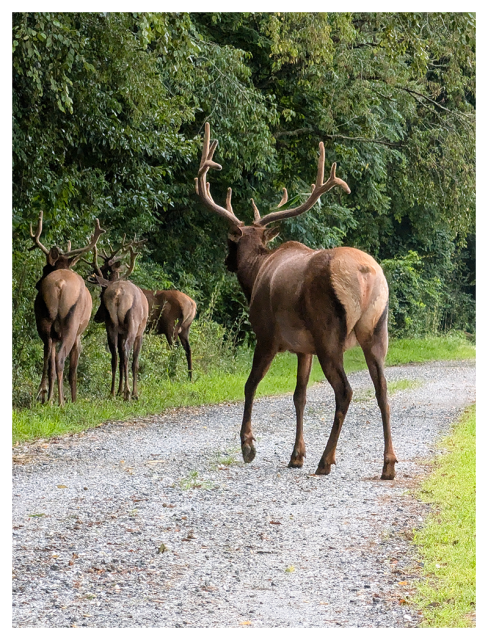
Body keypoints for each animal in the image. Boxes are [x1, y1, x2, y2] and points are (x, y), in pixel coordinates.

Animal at [29, 212, 105, 405]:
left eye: (45, 268)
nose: (36, 284)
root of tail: (60, 285)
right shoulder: (79, 335)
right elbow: (73, 369)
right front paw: (73, 398)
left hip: (44, 321)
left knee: (49, 358)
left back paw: (46, 397)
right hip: (71, 324)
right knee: (60, 359)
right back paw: (61, 402)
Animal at [89, 243, 148, 401]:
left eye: (101, 295)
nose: (96, 317)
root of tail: (118, 294)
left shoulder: (121, 332)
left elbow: (121, 359)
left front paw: (120, 390)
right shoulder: (140, 333)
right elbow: (135, 362)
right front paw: (134, 393)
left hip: (111, 324)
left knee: (115, 356)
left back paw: (112, 392)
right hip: (133, 323)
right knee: (127, 352)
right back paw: (128, 393)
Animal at [195, 123, 398, 480]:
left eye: (231, 242)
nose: (227, 261)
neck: (256, 273)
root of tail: (366, 275)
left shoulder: (266, 335)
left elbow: (250, 384)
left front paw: (248, 446)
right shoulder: (304, 348)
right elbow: (299, 395)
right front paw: (296, 454)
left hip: (329, 331)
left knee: (345, 390)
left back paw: (326, 461)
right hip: (376, 329)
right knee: (382, 390)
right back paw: (388, 464)